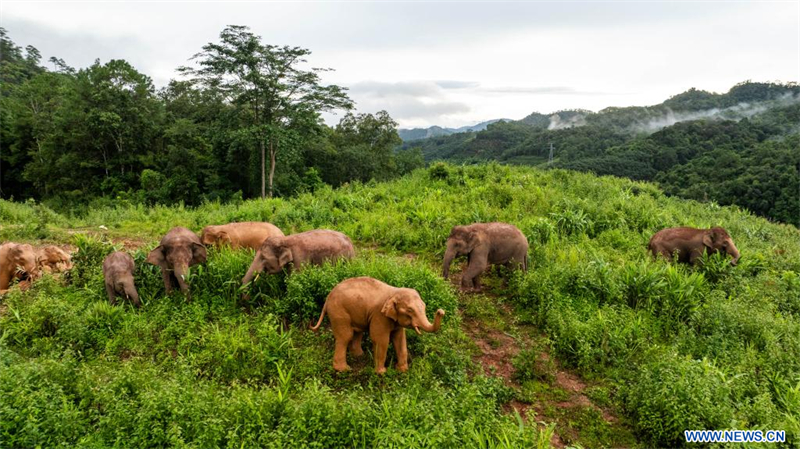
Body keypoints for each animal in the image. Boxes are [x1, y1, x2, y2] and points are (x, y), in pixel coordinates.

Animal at [310, 274, 444, 372]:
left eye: (424, 306)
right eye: (410, 310)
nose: (441, 311)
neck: (394, 291)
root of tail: (327, 298)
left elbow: (400, 339)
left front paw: (402, 370)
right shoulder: (379, 315)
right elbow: (381, 339)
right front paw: (382, 372)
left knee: (357, 332)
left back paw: (359, 355)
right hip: (338, 312)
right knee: (345, 336)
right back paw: (344, 369)